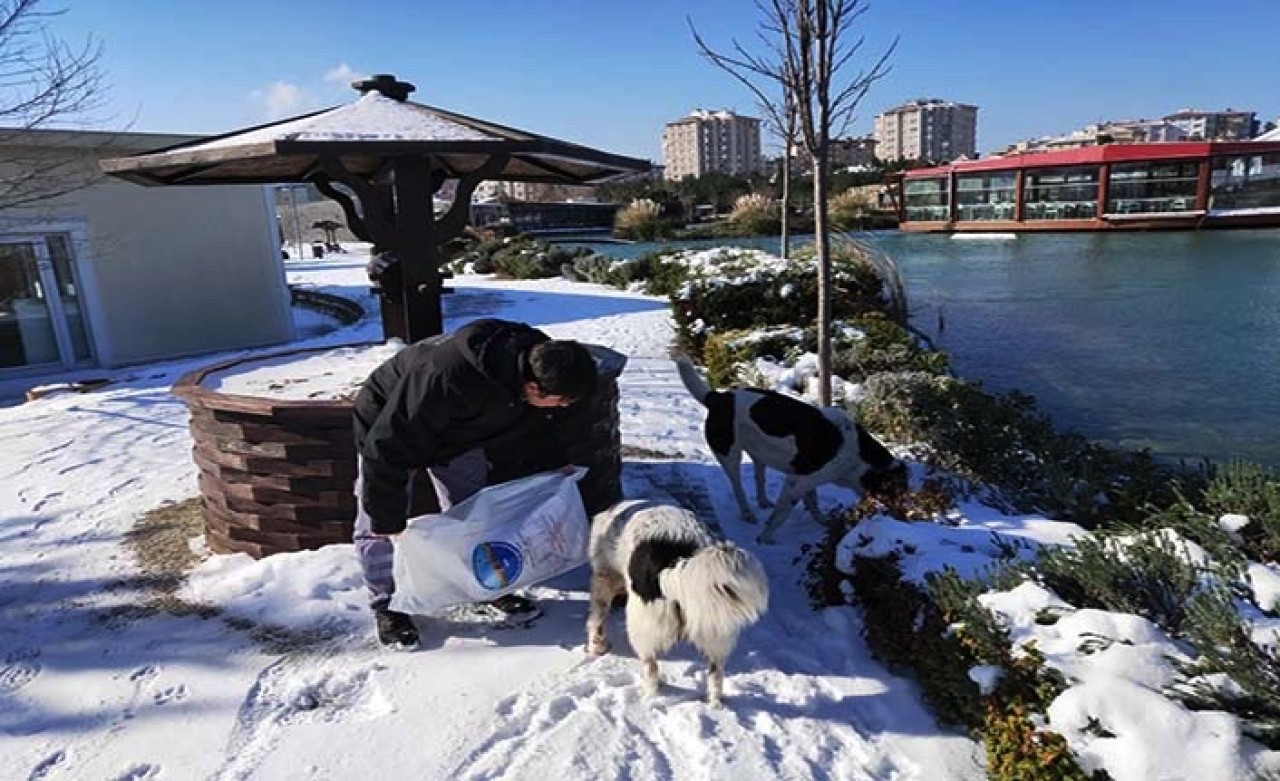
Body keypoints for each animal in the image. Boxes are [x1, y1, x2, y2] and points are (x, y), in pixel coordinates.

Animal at [586, 499, 762, 706]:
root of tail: (675, 562)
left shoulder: (604, 578)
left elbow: (597, 618)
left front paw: (597, 646)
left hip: (642, 626)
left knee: (651, 667)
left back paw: (649, 697)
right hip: (715, 628)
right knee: (716, 674)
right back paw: (713, 703)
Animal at [675, 353, 906, 540]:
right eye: (896, 491)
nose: (904, 518)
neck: (858, 456)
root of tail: (719, 397)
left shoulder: (806, 479)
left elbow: (812, 502)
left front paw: (822, 520)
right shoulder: (795, 482)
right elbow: (782, 514)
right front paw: (765, 538)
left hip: (759, 452)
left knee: (759, 476)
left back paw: (763, 501)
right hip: (730, 455)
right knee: (738, 486)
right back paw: (748, 513)